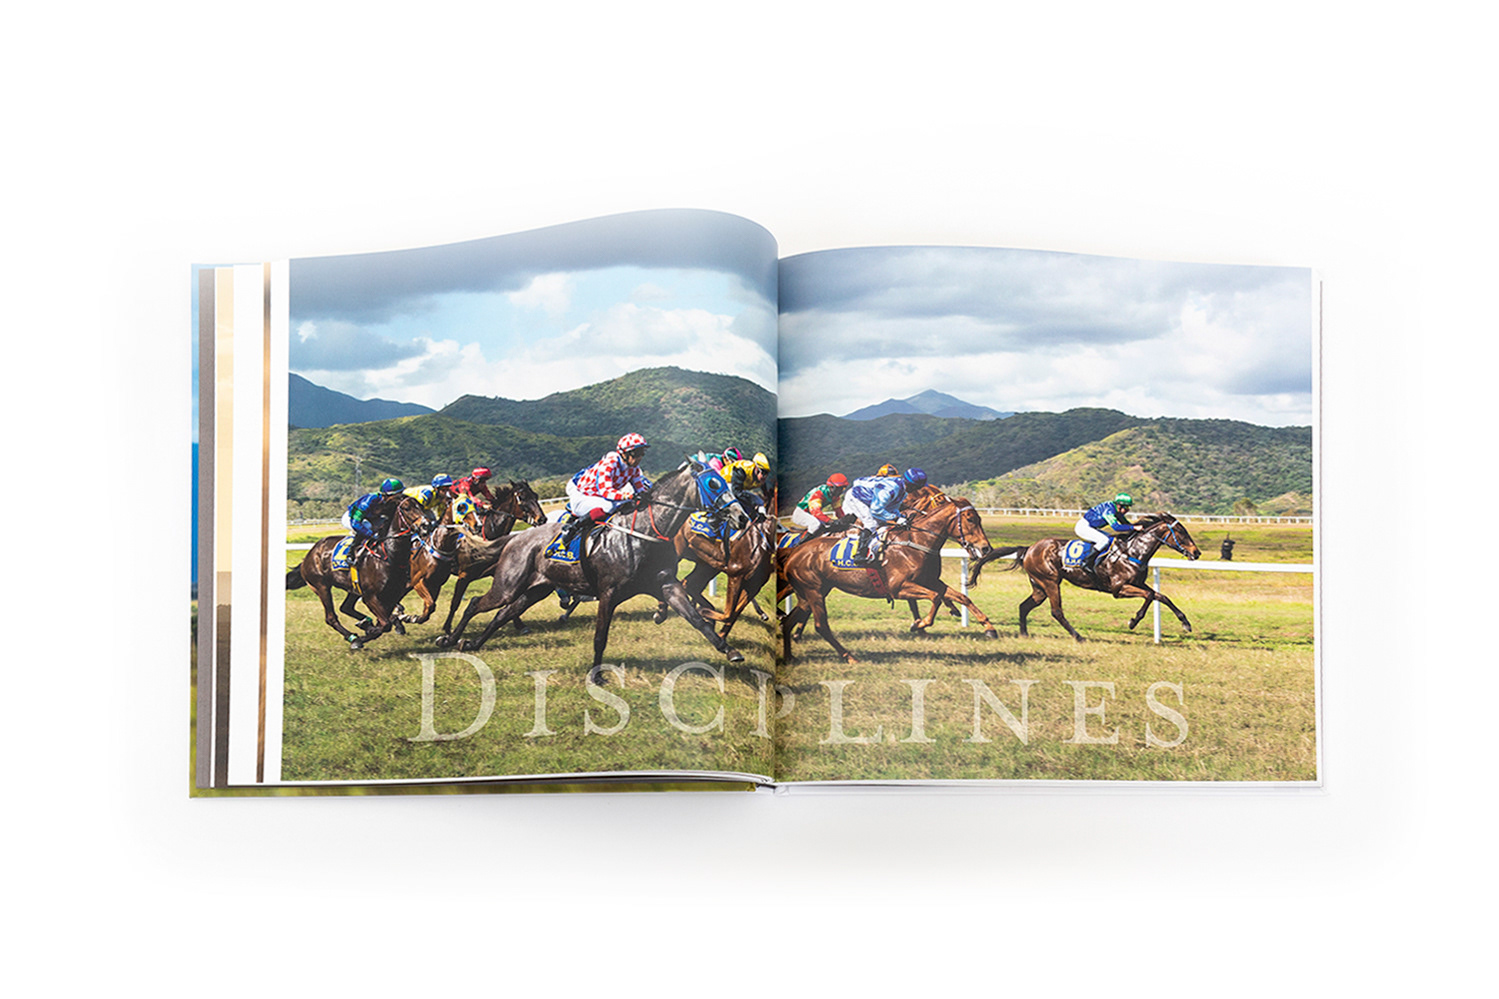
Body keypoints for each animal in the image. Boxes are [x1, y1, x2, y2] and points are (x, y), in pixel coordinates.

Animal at [437, 459, 755, 678]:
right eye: (713, 484)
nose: (742, 517)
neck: (642, 532)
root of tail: (516, 537)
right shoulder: (608, 592)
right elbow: (600, 635)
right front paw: (596, 675)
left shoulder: (666, 585)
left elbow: (697, 619)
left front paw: (730, 650)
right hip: (508, 585)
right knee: (475, 603)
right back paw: (448, 638)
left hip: (535, 590)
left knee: (503, 614)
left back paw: (473, 643)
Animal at [779, 498, 1001, 660]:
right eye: (970, 519)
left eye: (979, 519)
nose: (986, 548)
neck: (916, 543)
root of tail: (795, 551)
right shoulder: (898, 587)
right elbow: (936, 597)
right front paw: (919, 624)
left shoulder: (929, 581)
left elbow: (961, 597)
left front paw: (989, 627)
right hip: (813, 591)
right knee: (820, 625)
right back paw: (848, 656)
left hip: (809, 594)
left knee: (789, 621)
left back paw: (789, 657)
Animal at [995, 510, 1205, 642]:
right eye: (1181, 532)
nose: (1196, 553)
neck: (1132, 551)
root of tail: (1030, 548)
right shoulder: (1118, 589)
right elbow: (1150, 595)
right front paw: (1133, 621)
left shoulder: (1137, 583)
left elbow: (1161, 596)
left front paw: (1185, 623)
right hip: (1050, 582)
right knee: (1057, 611)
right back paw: (1078, 637)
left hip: (1040, 587)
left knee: (1025, 606)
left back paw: (1024, 634)